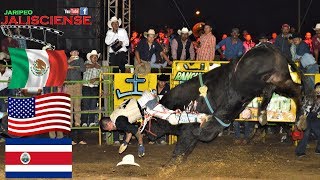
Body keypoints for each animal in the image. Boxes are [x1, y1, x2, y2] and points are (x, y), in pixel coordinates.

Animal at [146, 43, 312, 163]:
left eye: (152, 120)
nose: (147, 134)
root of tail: (268, 47)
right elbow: (188, 147)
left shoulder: (191, 127)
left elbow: (188, 142)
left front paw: (170, 165)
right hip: (280, 81)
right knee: (296, 90)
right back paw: (287, 117)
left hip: (260, 82)